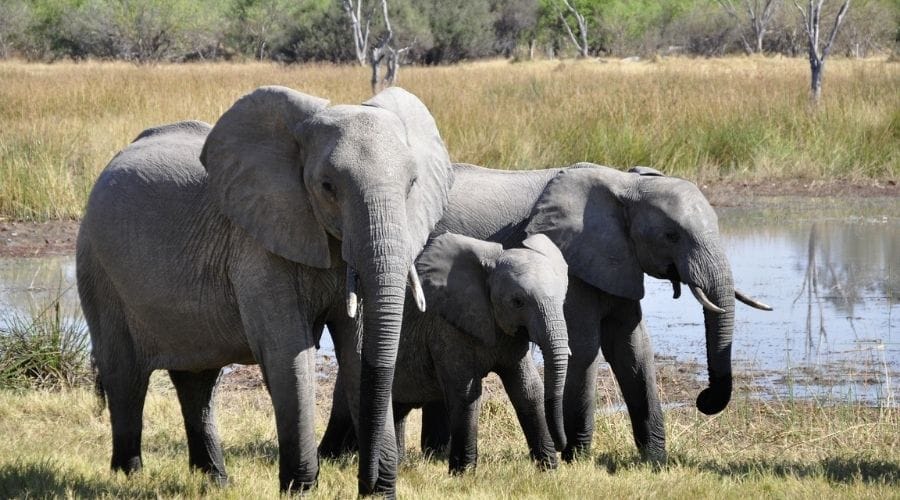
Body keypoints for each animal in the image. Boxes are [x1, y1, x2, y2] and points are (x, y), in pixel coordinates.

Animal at [76, 85, 454, 495]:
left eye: (412, 184)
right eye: (327, 187)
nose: (368, 482)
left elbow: (357, 349)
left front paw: (379, 493)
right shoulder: (257, 245)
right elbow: (288, 352)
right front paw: (300, 490)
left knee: (198, 381)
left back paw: (215, 481)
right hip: (97, 266)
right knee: (125, 375)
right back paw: (129, 474)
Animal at [321, 162, 771, 465]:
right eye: (671, 235)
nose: (704, 400)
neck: (626, 184)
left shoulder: (617, 262)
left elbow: (632, 349)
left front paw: (654, 462)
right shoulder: (576, 260)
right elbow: (585, 348)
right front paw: (578, 458)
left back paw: (425, 456)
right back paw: (339, 458)